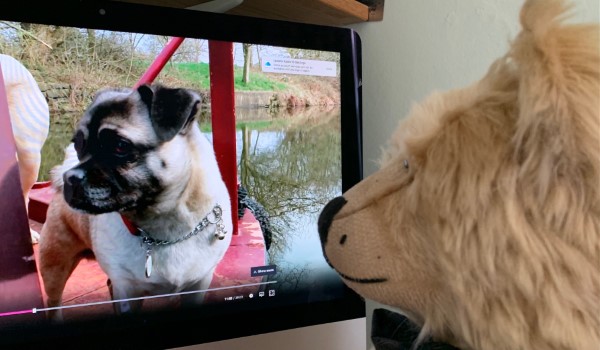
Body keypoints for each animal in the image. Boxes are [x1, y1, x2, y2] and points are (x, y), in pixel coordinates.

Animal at [38, 84, 232, 320]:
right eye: (78, 145)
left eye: (120, 146)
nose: (71, 177)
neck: (164, 229)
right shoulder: (128, 290)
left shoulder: (198, 285)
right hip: (55, 267)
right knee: (53, 302)